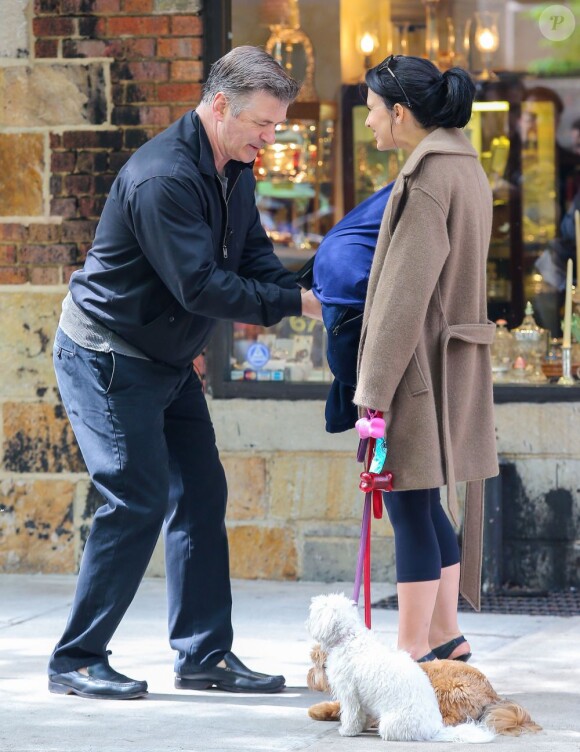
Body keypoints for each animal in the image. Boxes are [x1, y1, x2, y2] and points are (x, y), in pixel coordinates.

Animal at [308, 592, 494, 748]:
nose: (307, 622)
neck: (349, 637)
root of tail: (433, 730)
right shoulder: (362, 698)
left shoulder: (348, 692)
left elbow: (351, 714)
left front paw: (348, 731)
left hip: (390, 724)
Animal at [310, 644, 540, 736]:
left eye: (317, 662)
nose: (309, 676)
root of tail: (492, 694)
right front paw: (321, 710)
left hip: (447, 690)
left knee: (454, 718)